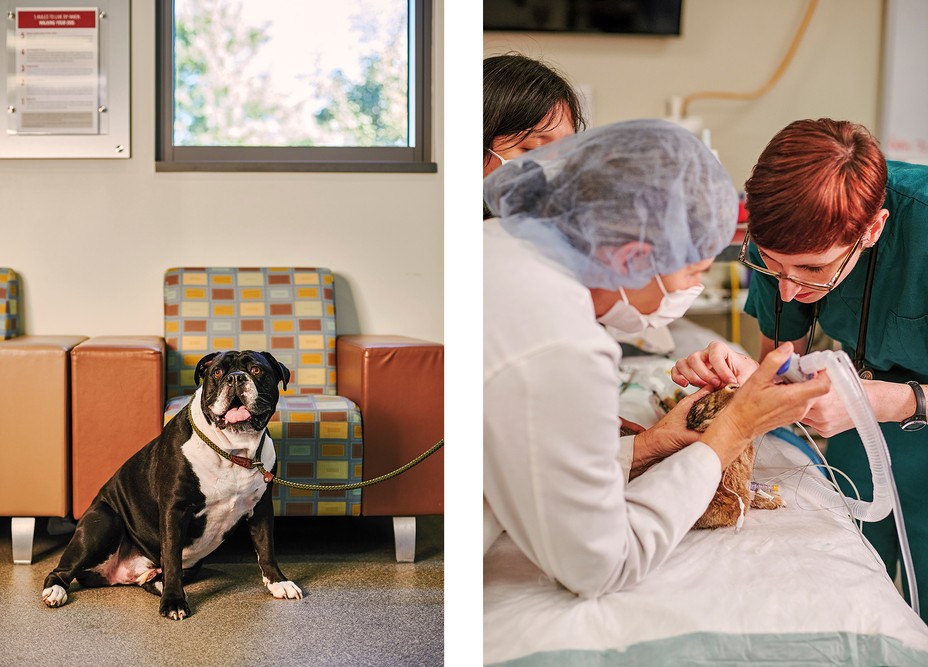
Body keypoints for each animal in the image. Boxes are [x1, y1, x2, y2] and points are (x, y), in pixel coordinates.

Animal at [41, 350, 300, 620]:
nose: (236, 377)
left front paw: (278, 582)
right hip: (103, 522)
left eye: (256, 370)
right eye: (218, 372)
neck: (233, 450)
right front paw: (174, 602)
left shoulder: (261, 508)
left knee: (154, 578)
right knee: (62, 570)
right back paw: (55, 591)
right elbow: (172, 557)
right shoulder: (175, 510)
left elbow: (267, 548)